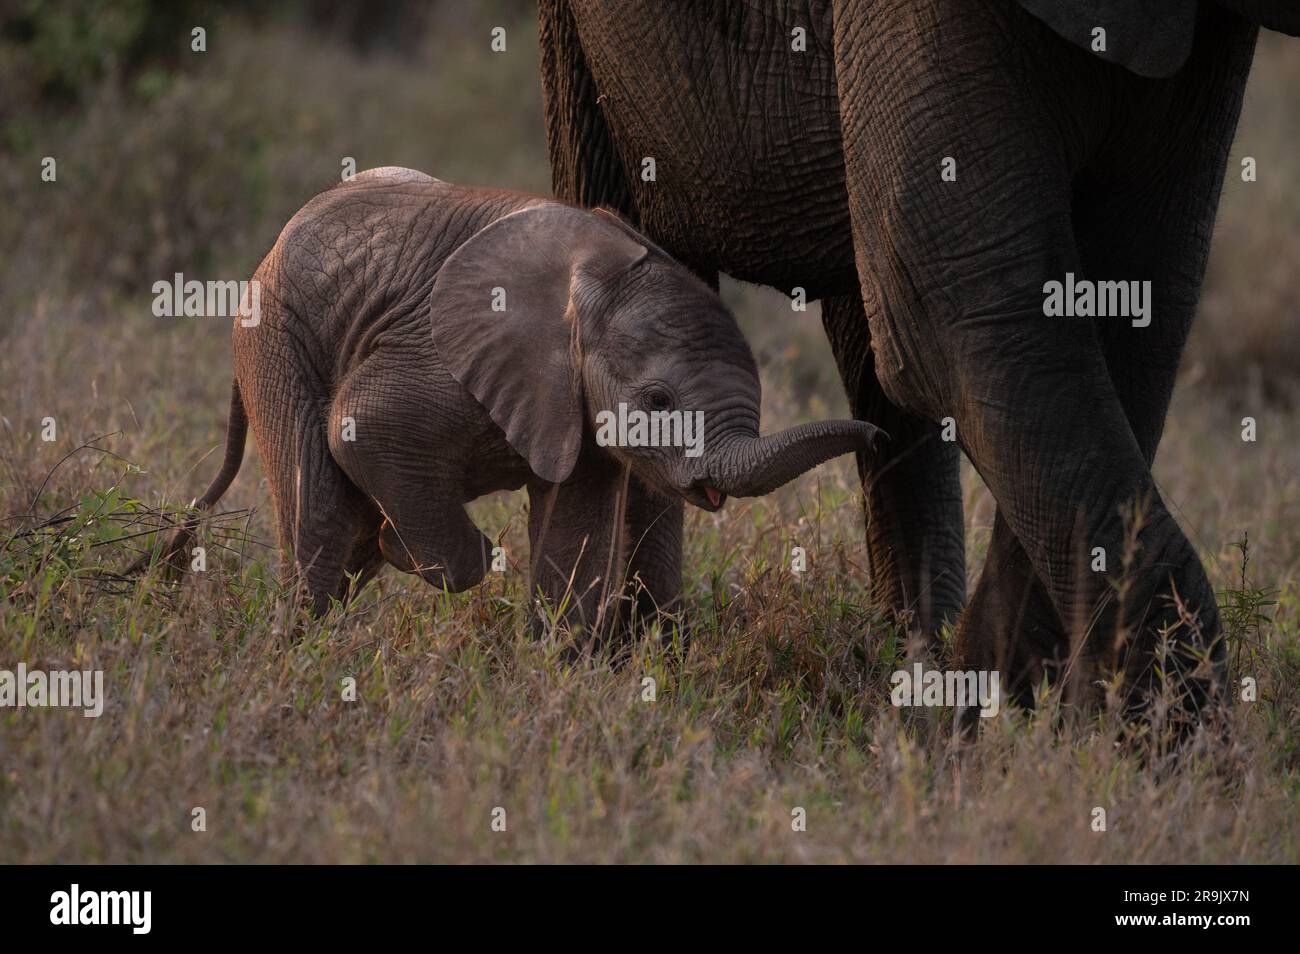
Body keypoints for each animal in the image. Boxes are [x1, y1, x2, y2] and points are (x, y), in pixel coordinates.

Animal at [152, 168, 883, 639]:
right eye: (657, 399)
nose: (880, 434)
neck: (600, 282)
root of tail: (273, 246)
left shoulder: (578, 406)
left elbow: (576, 534)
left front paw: (560, 672)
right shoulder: (440, 352)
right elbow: (361, 425)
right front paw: (405, 548)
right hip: (277, 336)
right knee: (324, 506)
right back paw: (298, 654)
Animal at [533, 0, 1294, 717]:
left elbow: (1136, 307)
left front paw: (998, 705)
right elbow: (964, 319)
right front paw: (1160, 743)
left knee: (865, 334)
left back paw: (906, 652)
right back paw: (632, 658)